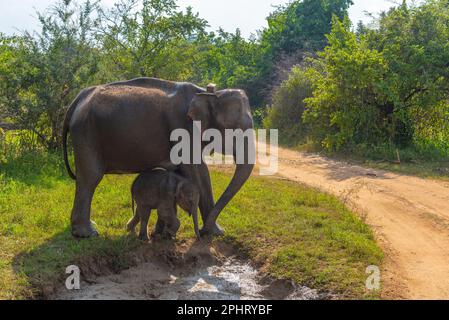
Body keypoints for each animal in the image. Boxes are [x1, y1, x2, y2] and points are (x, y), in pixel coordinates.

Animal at [61, 77, 254, 238]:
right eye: (235, 130)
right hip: (86, 133)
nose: (202, 230)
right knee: (90, 178)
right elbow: (199, 171)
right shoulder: (183, 129)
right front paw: (216, 233)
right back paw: (87, 233)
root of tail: (77, 100)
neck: (209, 93)